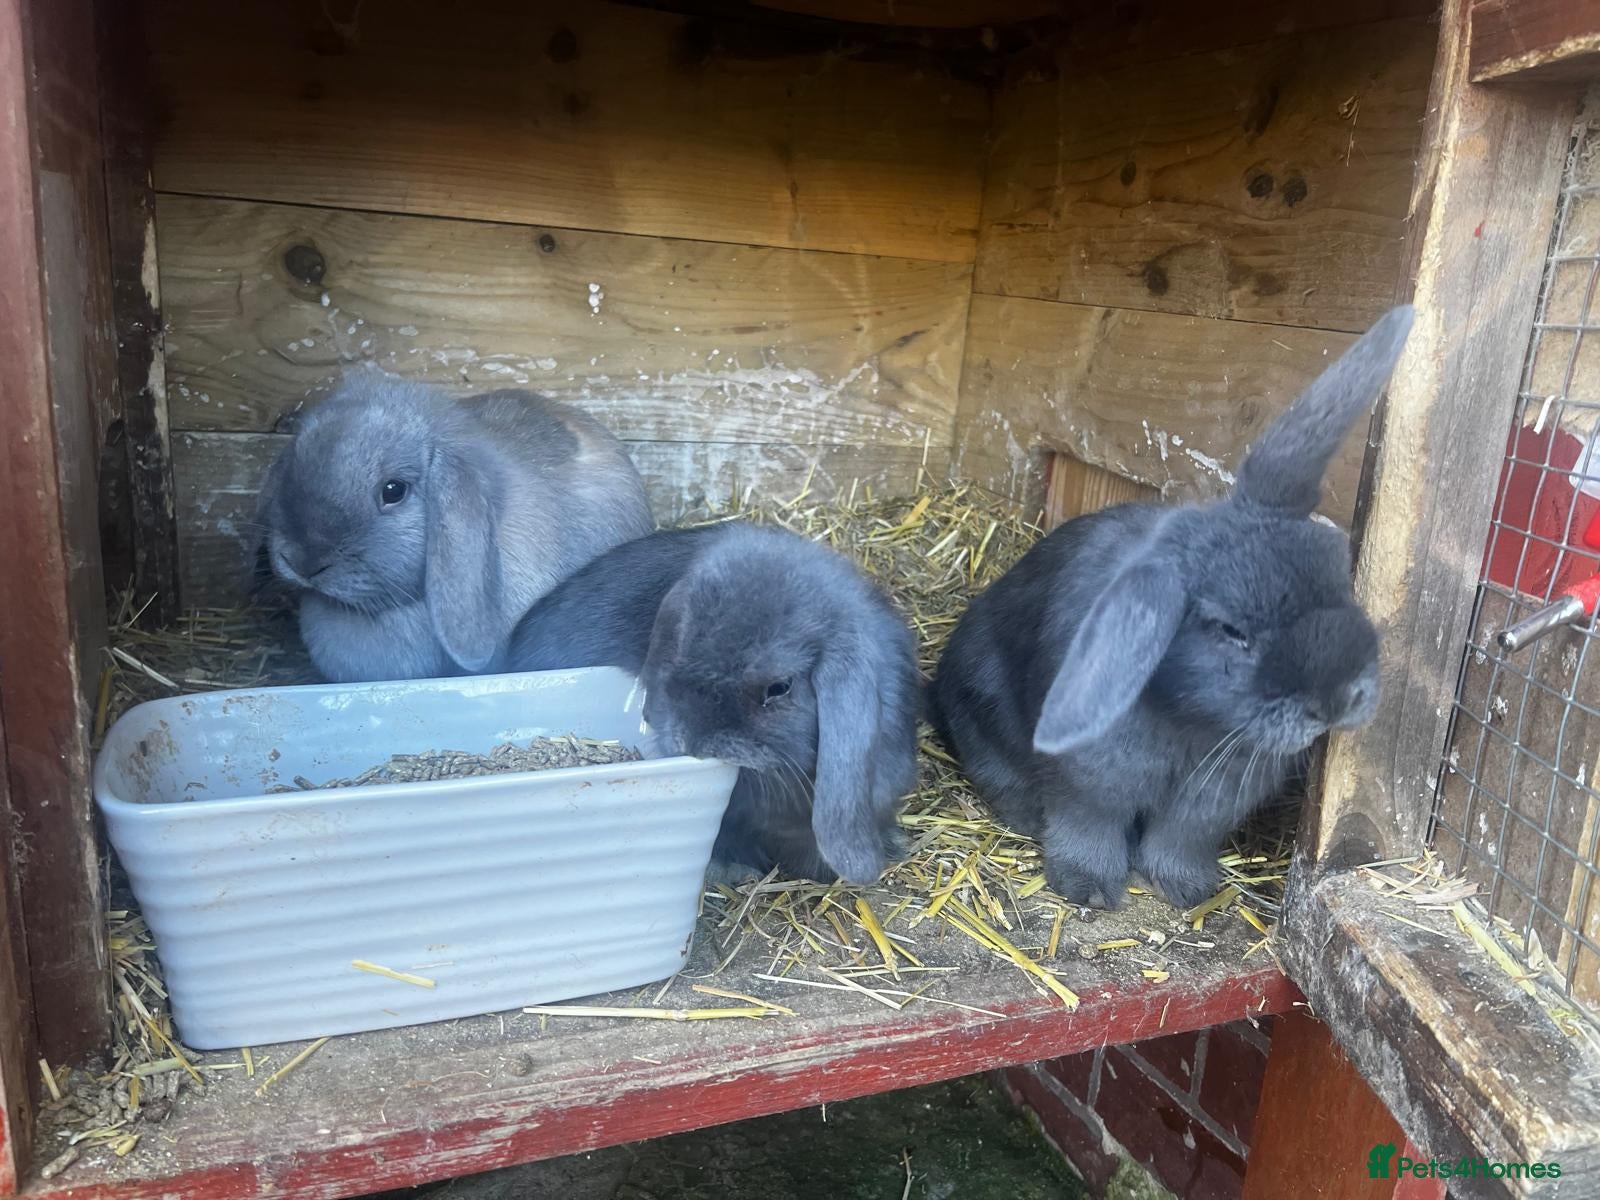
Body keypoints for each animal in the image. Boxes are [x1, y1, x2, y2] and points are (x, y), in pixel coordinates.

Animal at [930, 305, 1414, 910]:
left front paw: (1185, 889)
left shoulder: (1210, 798)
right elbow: (1087, 825)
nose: (1341, 698)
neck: (1191, 721)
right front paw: (1088, 888)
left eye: (1338, 576)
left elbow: (1180, 837)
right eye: (1232, 630)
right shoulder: (1091, 780)